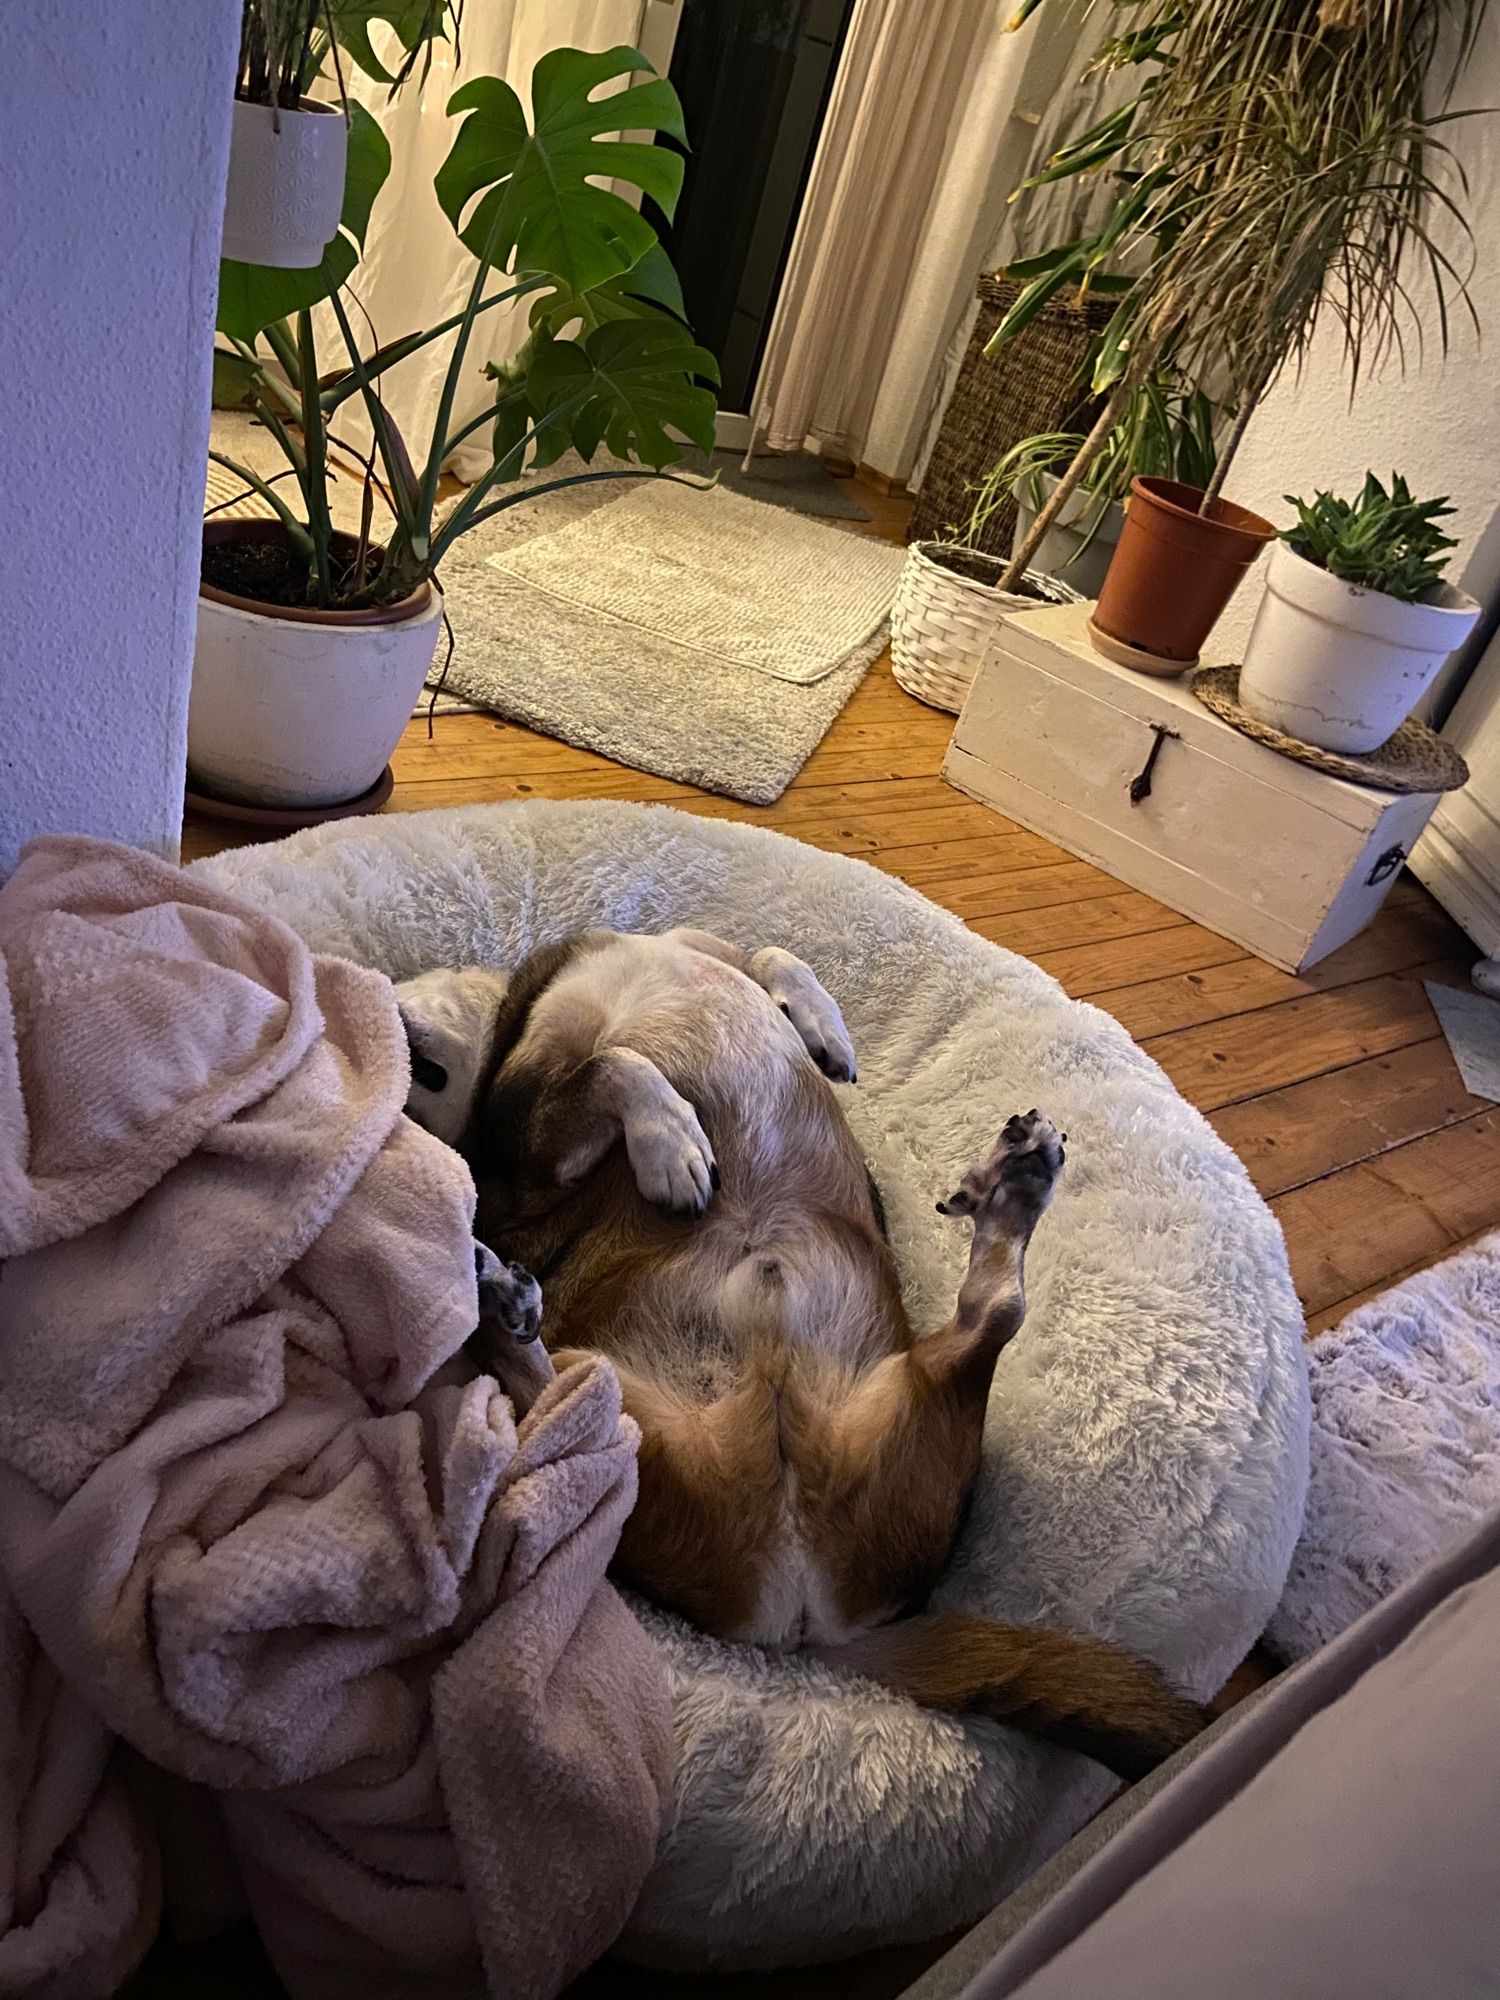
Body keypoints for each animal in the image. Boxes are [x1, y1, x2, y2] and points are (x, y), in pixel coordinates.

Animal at [400, 924, 1208, 1784]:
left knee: (993, 1314)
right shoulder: (528, 1146)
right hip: (616, 1414)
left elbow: (763, 955)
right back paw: (496, 1292)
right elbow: (611, 1064)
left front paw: (822, 1028)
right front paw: (671, 1142)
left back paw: (1013, 1184)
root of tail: (808, 1631)